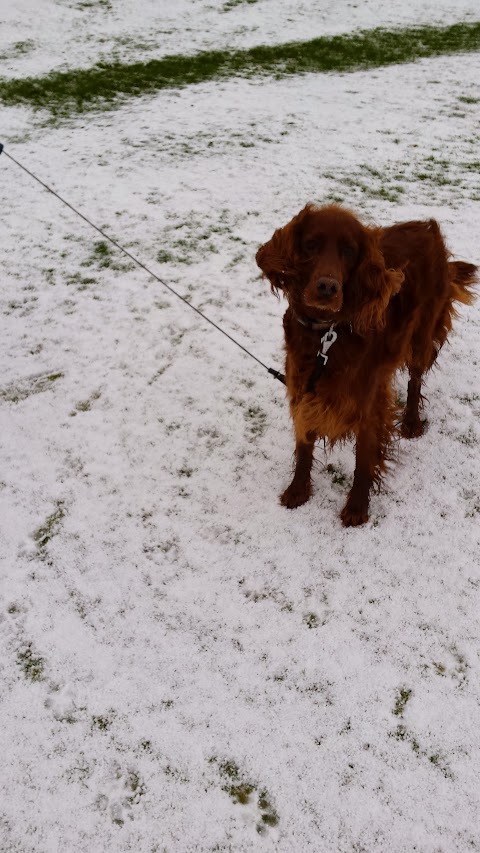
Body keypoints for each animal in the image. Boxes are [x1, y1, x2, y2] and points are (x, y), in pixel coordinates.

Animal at [255, 205, 476, 524]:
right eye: (311, 244)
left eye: (349, 251)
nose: (327, 287)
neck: (327, 334)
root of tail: (428, 227)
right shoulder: (304, 383)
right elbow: (304, 442)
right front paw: (298, 490)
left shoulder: (369, 401)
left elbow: (363, 459)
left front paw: (357, 508)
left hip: (422, 334)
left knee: (415, 380)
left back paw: (411, 422)